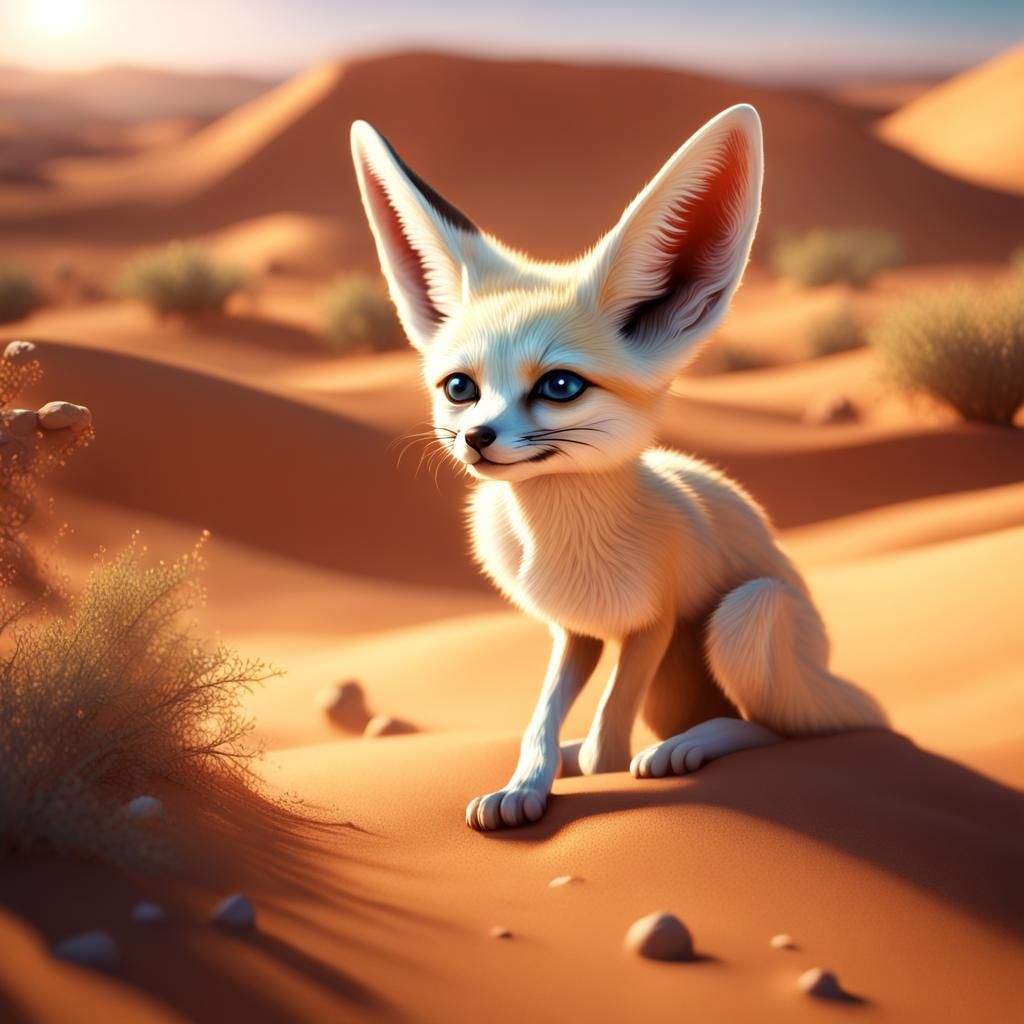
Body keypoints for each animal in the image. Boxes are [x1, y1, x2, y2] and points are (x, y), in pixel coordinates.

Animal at [350, 104, 888, 832]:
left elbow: (609, 733)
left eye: (559, 387)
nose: (476, 438)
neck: (562, 540)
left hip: (744, 613)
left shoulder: (649, 624)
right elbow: (544, 717)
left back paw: (686, 747)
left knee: (775, 725)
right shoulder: (574, 631)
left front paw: (588, 777)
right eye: (460, 387)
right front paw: (526, 783)